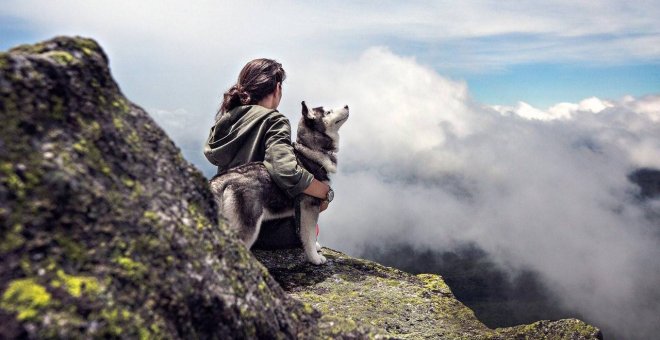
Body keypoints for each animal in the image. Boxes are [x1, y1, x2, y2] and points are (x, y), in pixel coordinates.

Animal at [209, 101, 348, 266]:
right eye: (328, 112)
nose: (347, 106)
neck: (310, 150)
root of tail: (222, 179)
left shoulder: (300, 212)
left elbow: (307, 234)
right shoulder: (309, 207)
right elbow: (309, 234)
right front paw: (314, 258)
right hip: (248, 226)